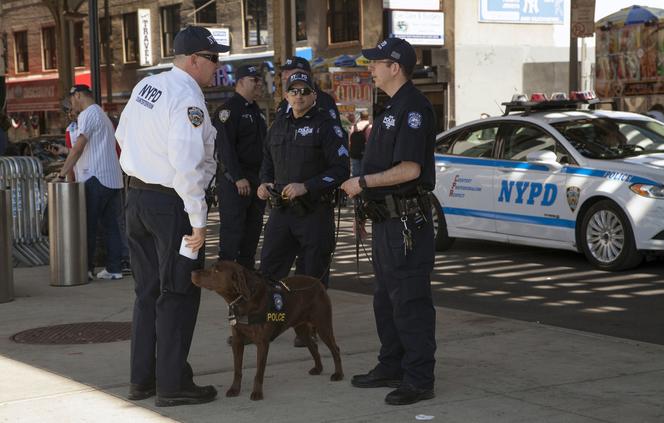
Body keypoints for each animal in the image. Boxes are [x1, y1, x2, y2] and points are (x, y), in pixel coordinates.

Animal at [191, 260, 342, 402]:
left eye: (216, 270)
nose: (192, 272)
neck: (244, 301)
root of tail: (318, 282)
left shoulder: (262, 343)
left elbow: (259, 372)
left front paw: (257, 393)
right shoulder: (237, 341)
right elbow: (237, 370)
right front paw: (234, 389)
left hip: (323, 325)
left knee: (335, 349)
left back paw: (338, 374)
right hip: (301, 329)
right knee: (313, 346)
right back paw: (318, 368)